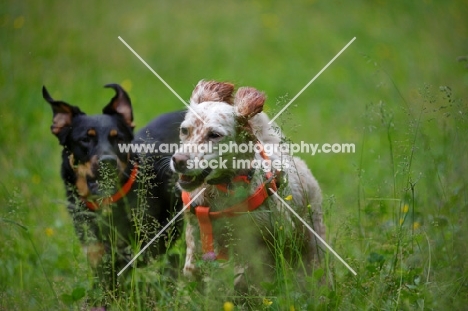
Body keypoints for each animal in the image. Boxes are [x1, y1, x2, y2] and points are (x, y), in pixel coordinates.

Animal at [169, 81, 326, 288]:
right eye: (184, 130)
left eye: (214, 135)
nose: (178, 160)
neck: (222, 191)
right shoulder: (196, 228)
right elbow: (192, 268)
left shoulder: (277, 234)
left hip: (313, 239)